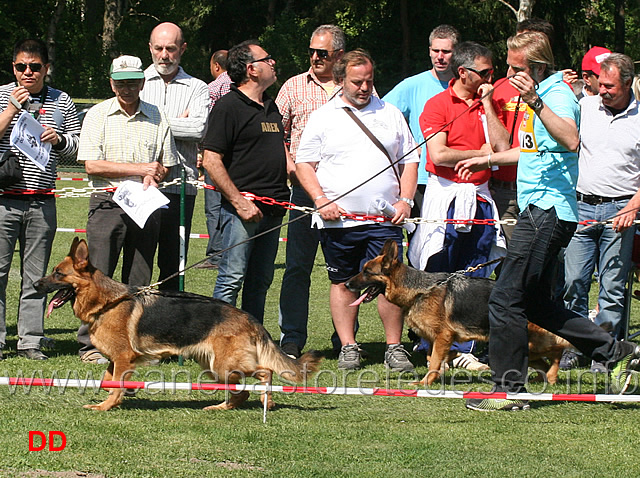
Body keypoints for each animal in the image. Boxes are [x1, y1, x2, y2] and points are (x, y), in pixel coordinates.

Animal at [34, 239, 322, 410]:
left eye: (58, 274)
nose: (35, 284)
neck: (107, 302)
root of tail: (250, 317)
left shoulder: (123, 358)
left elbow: (114, 385)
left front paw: (106, 407)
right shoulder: (116, 361)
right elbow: (109, 382)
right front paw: (117, 397)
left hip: (223, 366)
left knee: (265, 372)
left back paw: (266, 400)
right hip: (214, 369)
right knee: (242, 391)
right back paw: (223, 407)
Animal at [344, 241, 568, 386]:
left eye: (366, 272)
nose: (346, 284)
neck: (419, 290)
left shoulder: (443, 336)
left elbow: (434, 361)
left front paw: (425, 383)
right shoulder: (435, 340)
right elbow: (433, 357)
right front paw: (446, 363)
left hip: (531, 342)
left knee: (557, 351)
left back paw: (552, 376)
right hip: (528, 347)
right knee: (543, 362)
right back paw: (541, 379)